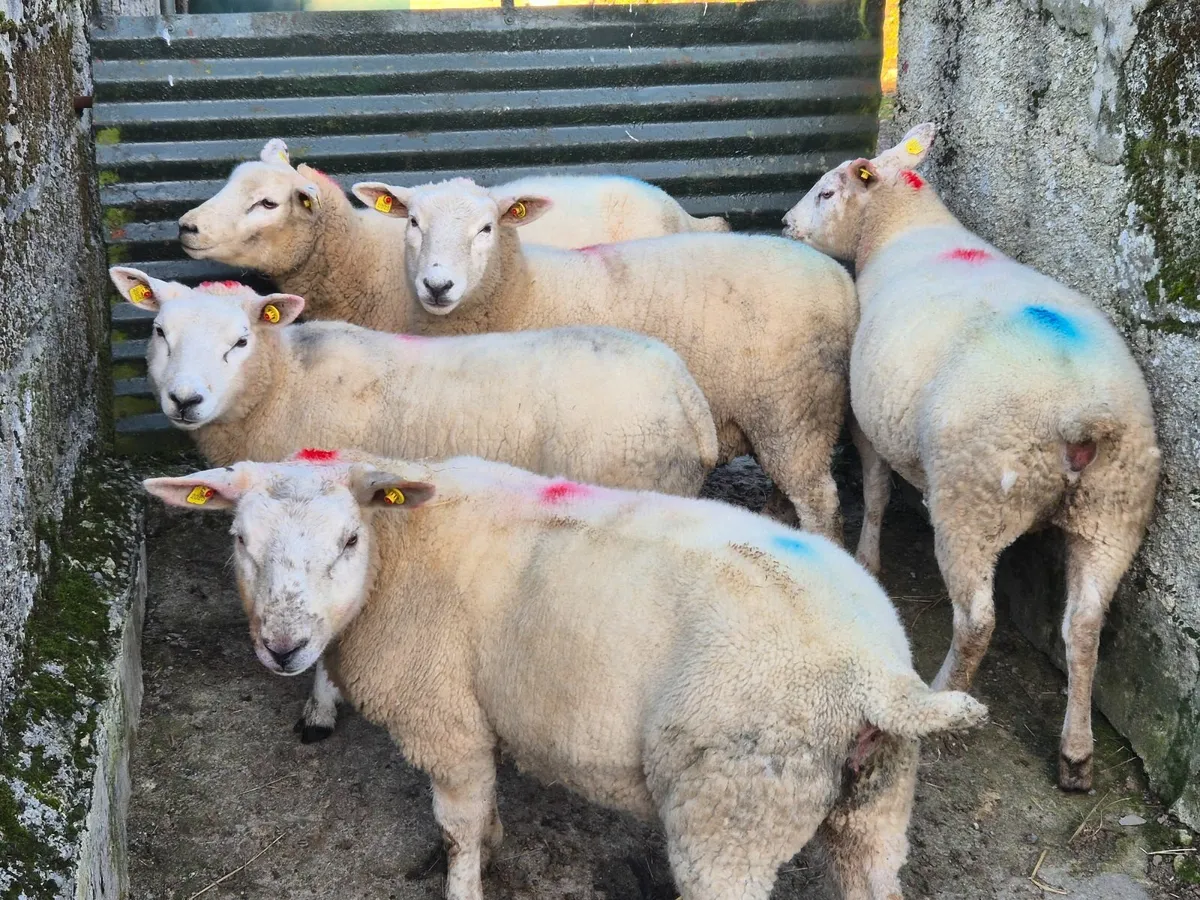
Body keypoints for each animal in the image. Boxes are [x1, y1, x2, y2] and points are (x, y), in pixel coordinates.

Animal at [110, 266, 719, 742]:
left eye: (240, 341)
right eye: (160, 331)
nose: (185, 399)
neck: (286, 382)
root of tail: (687, 393)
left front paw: (320, 709)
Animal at [143, 451, 988, 900]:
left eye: (349, 539)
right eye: (239, 538)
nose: (283, 647)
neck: (400, 553)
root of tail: (873, 675)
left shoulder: (446, 721)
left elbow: (456, 830)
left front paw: (467, 878)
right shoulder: (479, 722)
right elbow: (483, 814)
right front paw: (496, 839)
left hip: (733, 810)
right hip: (873, 806)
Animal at [350, 177, 859, 541]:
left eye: (486, 228)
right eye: (413, 222)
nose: (438, 285)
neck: (523, 288)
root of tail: (842, 283)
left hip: (794, 409)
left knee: (818, 502)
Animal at [781, 122, 1161, 792]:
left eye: (826, 192)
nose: (784, 222)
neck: (900, 226)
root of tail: (1081, 412)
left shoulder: (869, 422)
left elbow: (876, 493)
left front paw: (867, 558)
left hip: (973, 499)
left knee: (978, 620)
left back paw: (942, 701)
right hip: (1114, 511)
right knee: (1085, 627)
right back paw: (1076, 755)